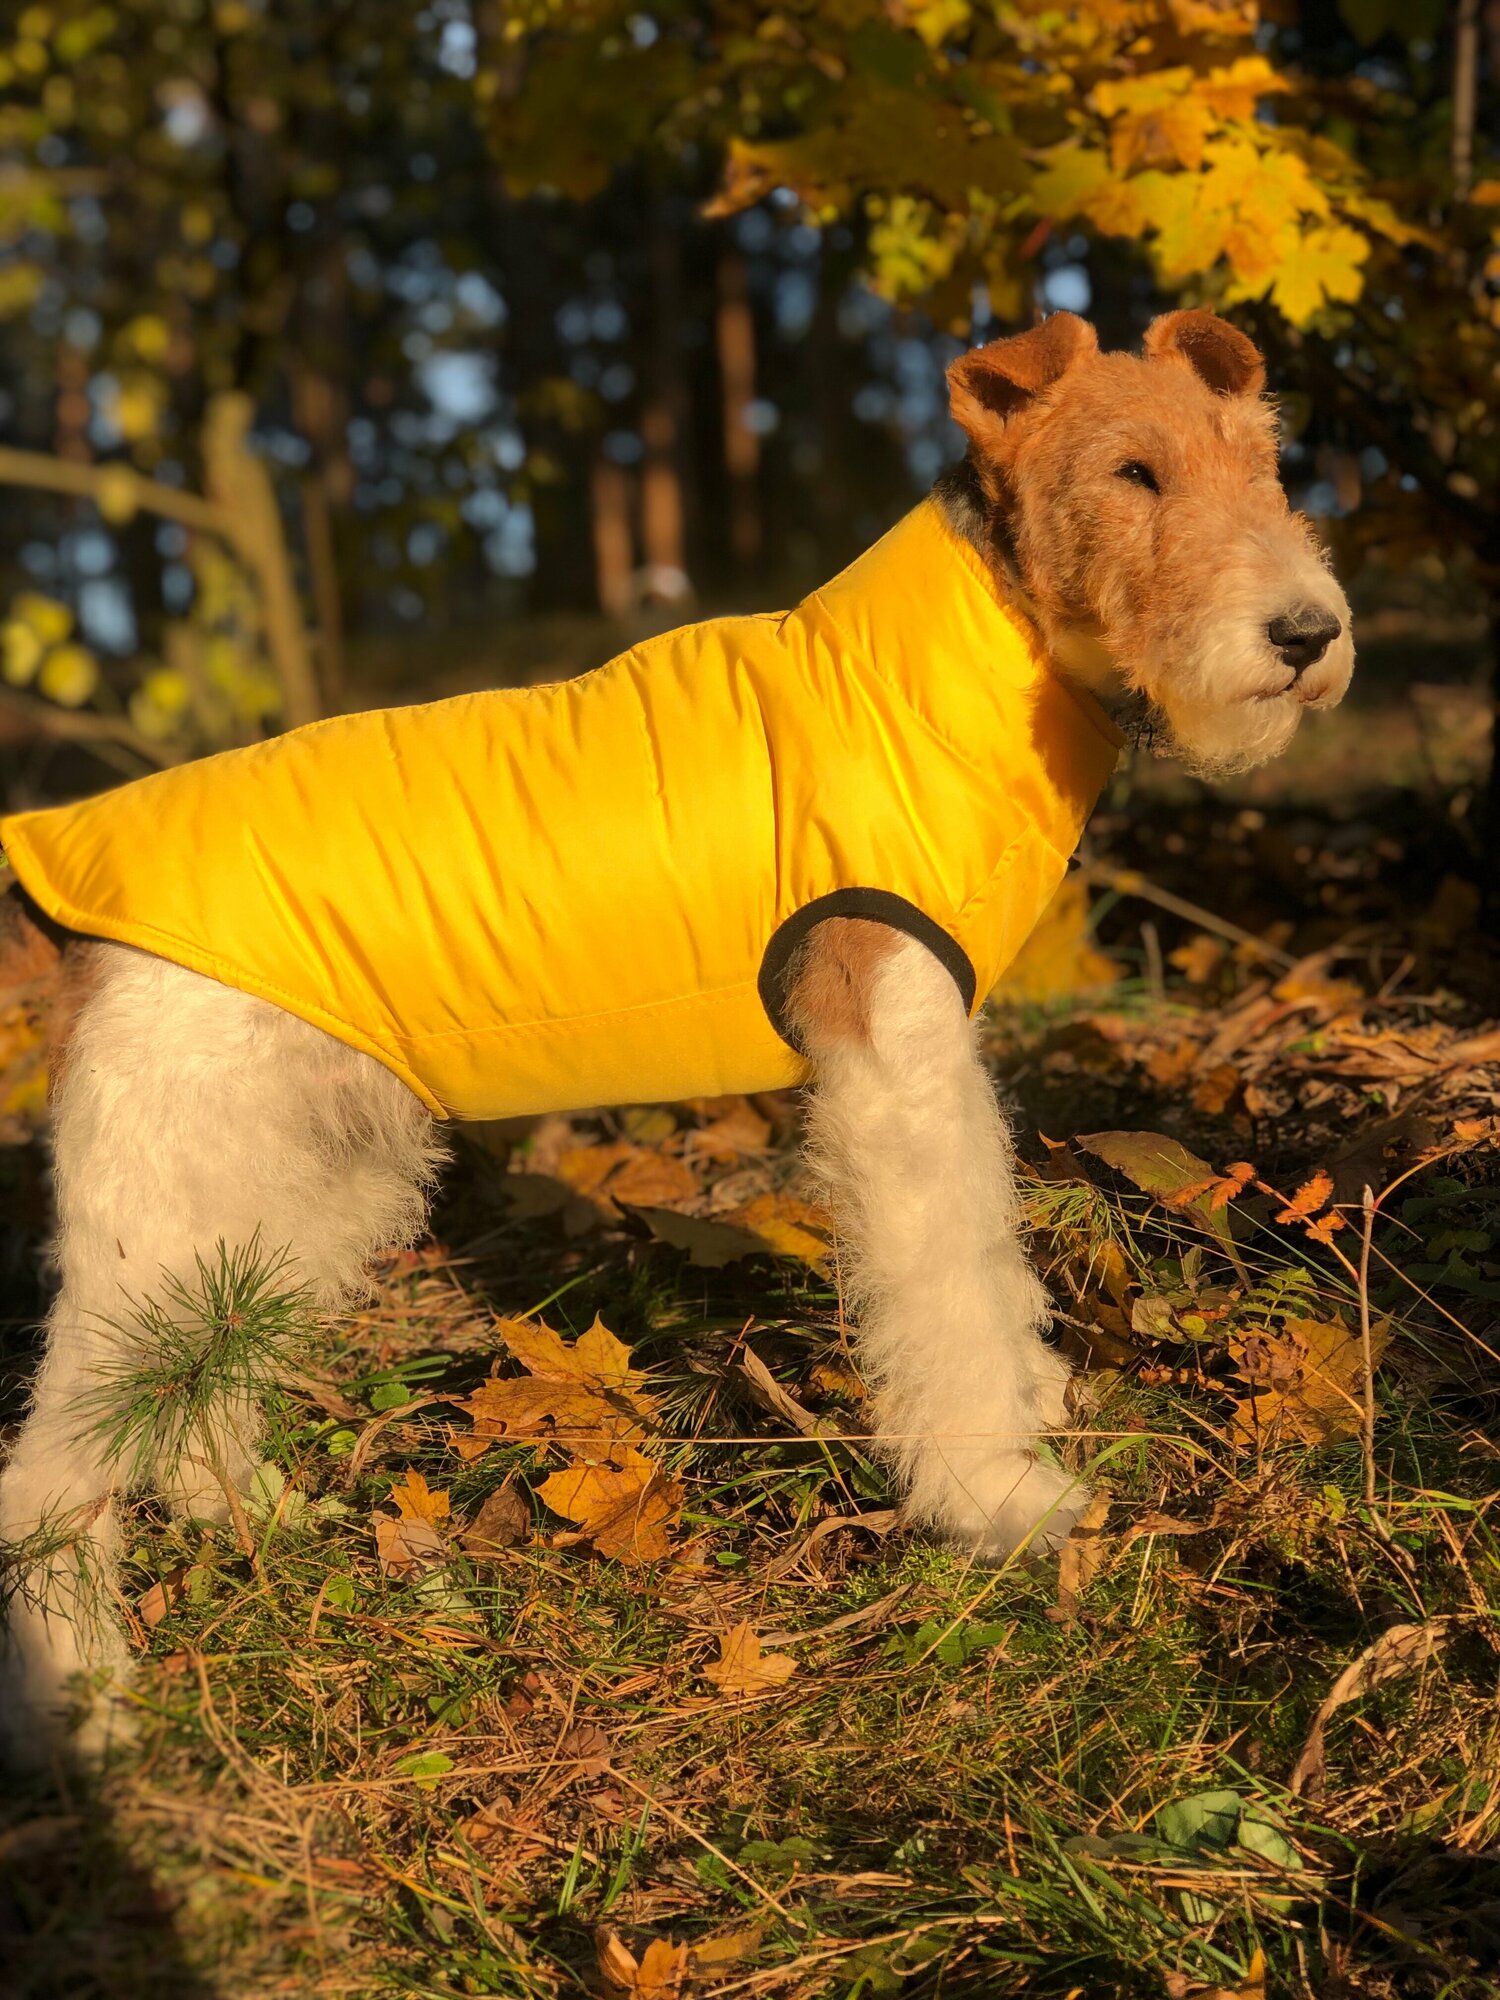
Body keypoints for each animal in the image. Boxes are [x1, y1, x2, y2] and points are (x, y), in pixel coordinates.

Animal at [0, 304, 1360, 1760]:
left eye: (1268, 464)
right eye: (1132, 473)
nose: (1306, 631)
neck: (940, 661)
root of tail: (78, 897)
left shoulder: (941, 1056)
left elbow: (989, 1254)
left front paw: (1035, 1403)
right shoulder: (891, 1061)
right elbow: (942, 1286)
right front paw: (999, 1496)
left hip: (296, 1190)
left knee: (192, 1394)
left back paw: (252, 1513)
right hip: (168, 1216)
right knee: (45, 1477)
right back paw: (90, 1707)